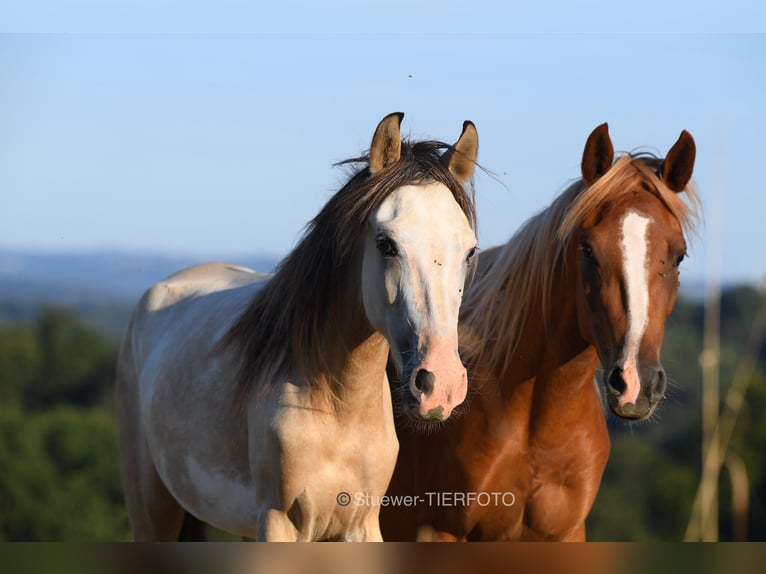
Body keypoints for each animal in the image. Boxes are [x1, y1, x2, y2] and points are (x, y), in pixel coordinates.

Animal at [118, 113, 480, 544]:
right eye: (386, 243)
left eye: (470, 250)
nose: (439, 385)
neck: (337, 403)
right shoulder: (279, 522)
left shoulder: (360, 527)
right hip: (153, 513)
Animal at [384, 124, 704, 544]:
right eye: (587, 250)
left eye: (679, 255)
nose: (636, 383)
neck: (534, 428)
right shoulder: (440, 532)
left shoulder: (565, 535)